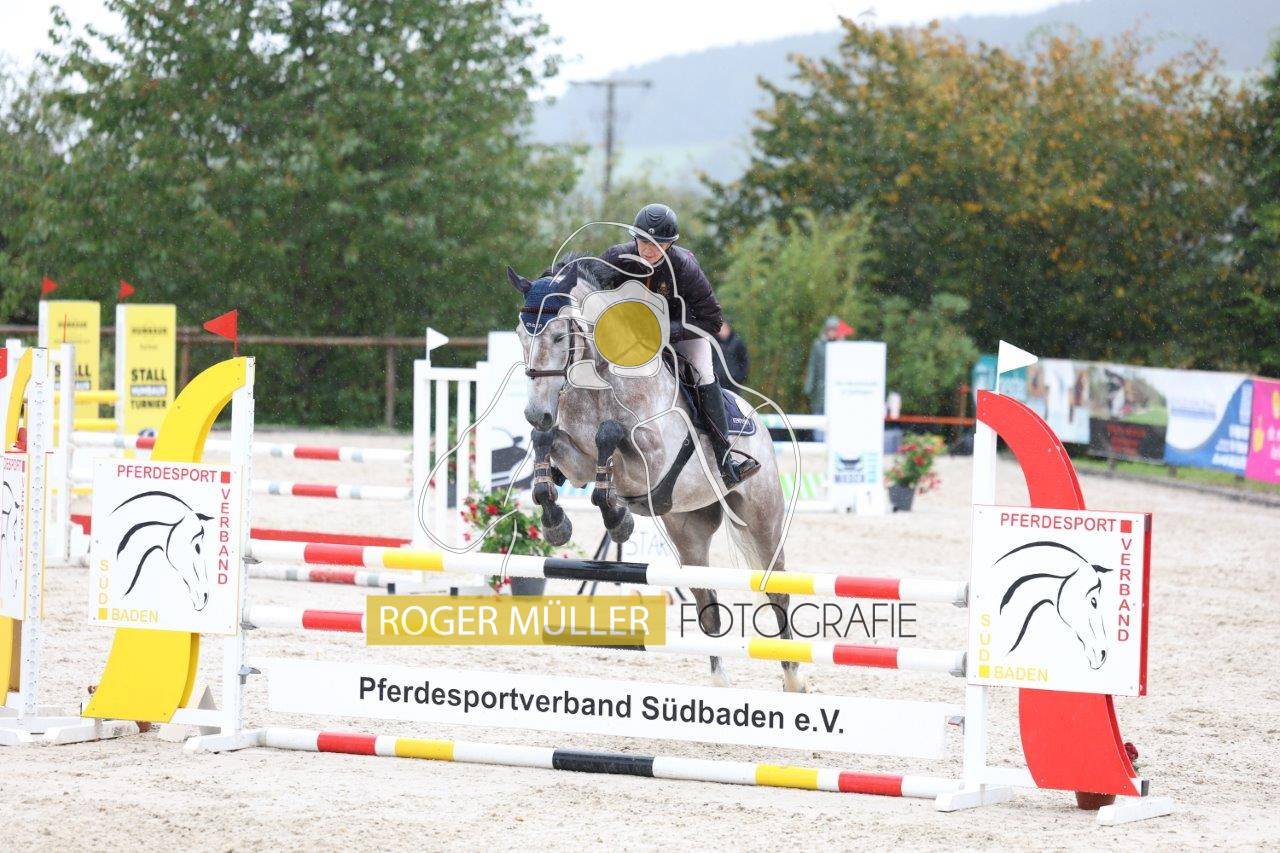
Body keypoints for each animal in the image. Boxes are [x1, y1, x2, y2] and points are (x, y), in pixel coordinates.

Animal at [506, 256, 805, 692]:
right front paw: (558, 522)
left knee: (776, 590)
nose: (536, 411)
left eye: (560, 336)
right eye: (519, 336)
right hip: (688, 529)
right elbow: (550, 445)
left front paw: (618, 520)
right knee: (707, 604)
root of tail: (759, 424)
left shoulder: (653, 462)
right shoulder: (577, 461)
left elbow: (608, 438)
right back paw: (719, 682)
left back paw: (794, 679)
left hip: (761, 521)